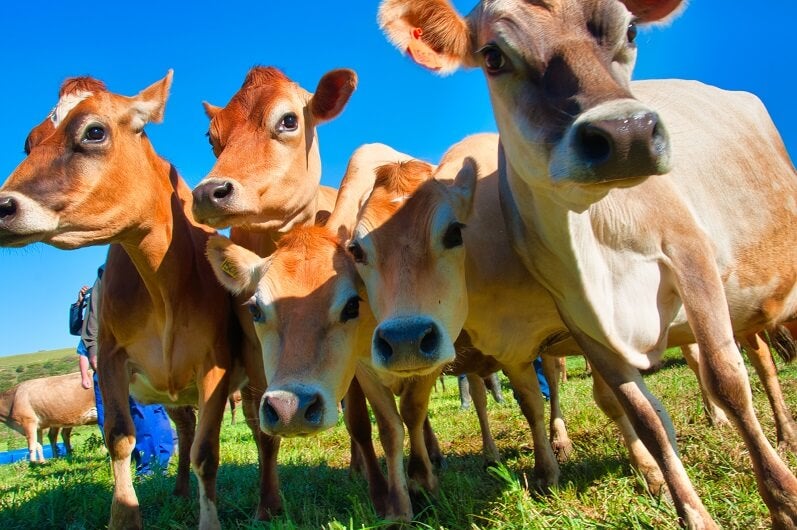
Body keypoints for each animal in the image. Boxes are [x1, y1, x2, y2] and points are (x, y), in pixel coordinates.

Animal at [0, 73, 280, 528]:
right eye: (29, 141)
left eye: (94, 131)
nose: (3, 206)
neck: (162, 285)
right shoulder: (110, 357)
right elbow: (119, 438)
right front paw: (124, 516)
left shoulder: (215, 366)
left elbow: (208, 452)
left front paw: (209, 519)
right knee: (184, 427)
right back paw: (180, 490)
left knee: (258, 430)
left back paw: (267, 502)